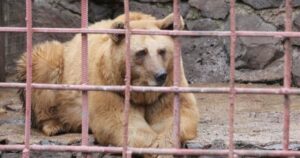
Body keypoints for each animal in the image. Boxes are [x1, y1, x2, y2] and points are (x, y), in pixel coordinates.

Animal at [16, 12, 199, 153]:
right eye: (142, 52)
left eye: (162, 51)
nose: (160, 75)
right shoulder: (108, 82)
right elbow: (117, 120)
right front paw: (152, 146)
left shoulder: (170, 84)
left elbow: (177, 115)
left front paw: (164, 144)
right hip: (59, 64)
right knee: (43, 63)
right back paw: (54, 125)